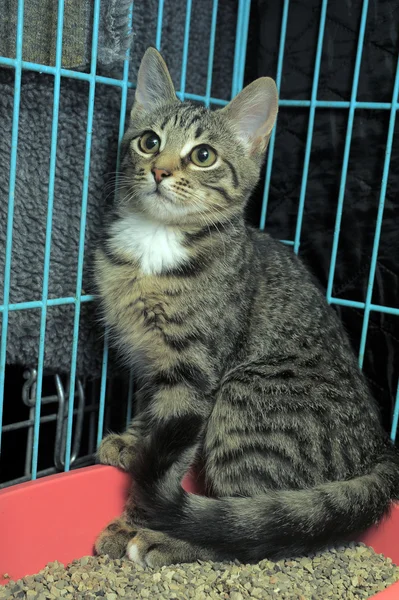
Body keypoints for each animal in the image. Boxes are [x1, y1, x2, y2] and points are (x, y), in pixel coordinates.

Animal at [94, 48, 399, 568]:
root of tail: (378, 450)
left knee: (246, 528)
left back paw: (169, 538)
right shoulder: (149, 358)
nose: (160, 171)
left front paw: (135, 519)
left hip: (246, 397)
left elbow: (172, 447)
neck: (155, 245)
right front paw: (134, 443)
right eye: (149, 142)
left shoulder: (195, 372)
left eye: (203, 155)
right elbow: (151, 410)